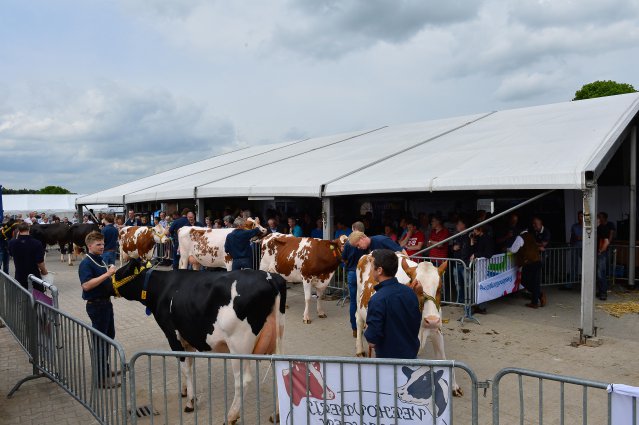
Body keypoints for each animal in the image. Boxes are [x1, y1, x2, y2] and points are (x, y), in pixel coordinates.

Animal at [111, 258, 286, 424]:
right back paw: (276, 414)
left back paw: (231, 416)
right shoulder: (188, 338)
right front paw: (186, 391)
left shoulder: (173, 336)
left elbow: (185, 368)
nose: (107, 283)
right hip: (277, 339)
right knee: (281, 370)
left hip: (239, 345)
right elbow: (189, 365)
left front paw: (190, 402)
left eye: (120, 272)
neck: (163, 288)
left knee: (243, 381)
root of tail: (270, 277)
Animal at [356, 252, 460, 394]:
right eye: (416, 285)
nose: (432, 320)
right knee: (358, 321)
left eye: (440, 288)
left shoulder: (437, 330)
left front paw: (453, 385)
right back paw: (360, 350)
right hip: (358, 300)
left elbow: (443, 358)